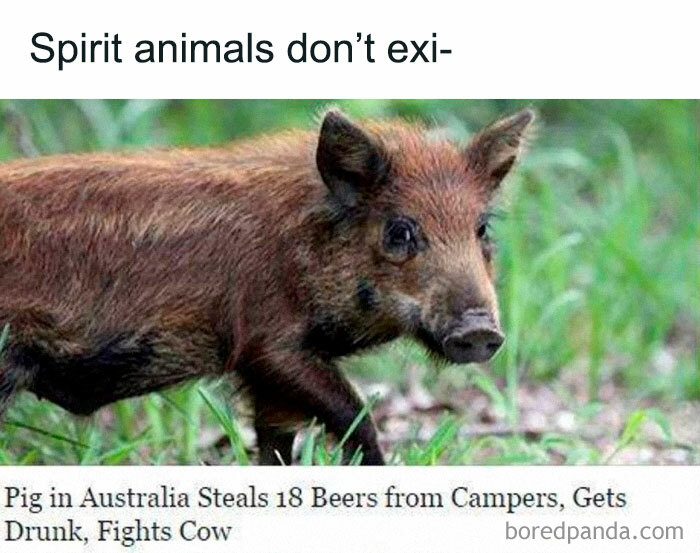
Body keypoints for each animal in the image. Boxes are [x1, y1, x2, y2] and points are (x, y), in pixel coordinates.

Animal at [0, 108, 534, 464]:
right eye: (400, 231)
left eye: (481, 228)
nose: (480, 332)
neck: (302, 248)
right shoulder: (268, 345)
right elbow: (355, 418)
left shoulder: (268, 380)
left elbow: (277, 442)